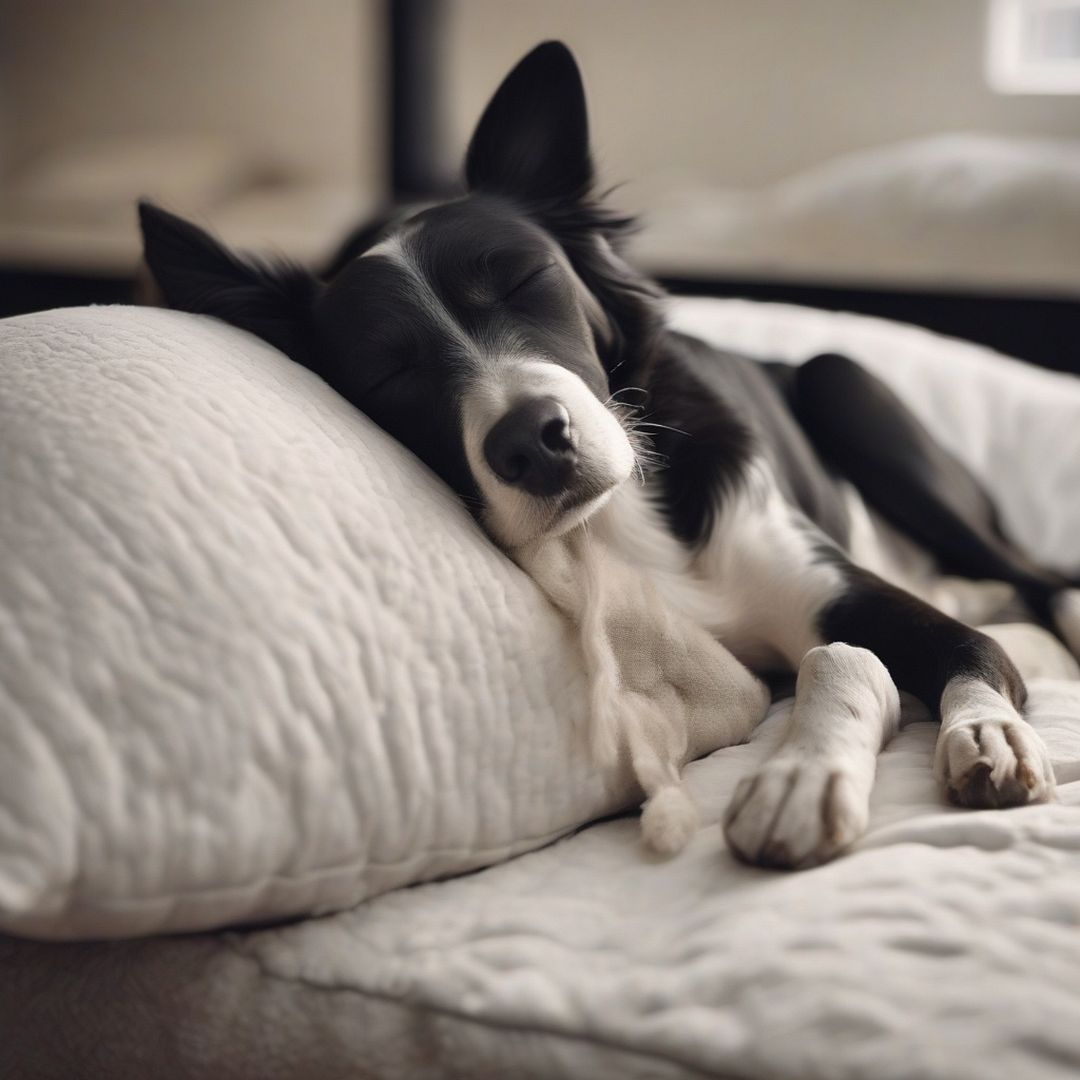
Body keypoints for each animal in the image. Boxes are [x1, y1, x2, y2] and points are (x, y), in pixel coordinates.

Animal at [141, 42, 1080, 868]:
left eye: (523, 280)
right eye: (388, 374)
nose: (532, 442)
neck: (630, 515)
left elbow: (948, 653)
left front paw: (964, 737)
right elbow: (837, 660)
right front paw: (804, 774)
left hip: (843, 385)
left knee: (1039, 577)